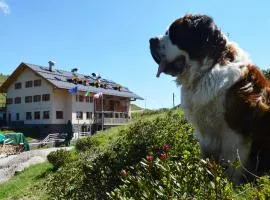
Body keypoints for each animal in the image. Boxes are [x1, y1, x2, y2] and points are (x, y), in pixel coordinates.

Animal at [149, 14, 270, 183]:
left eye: (175, 33)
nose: (151, 40)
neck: (207, 70)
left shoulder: (234, 134)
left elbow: (233, 167)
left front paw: (229, 185)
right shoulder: (205, 135)